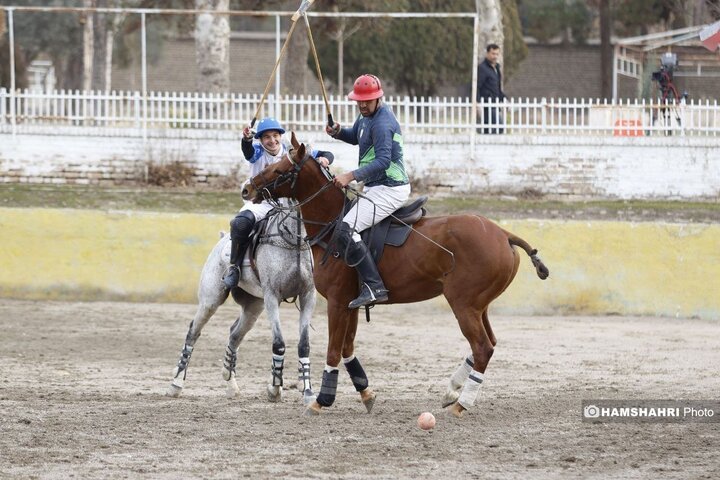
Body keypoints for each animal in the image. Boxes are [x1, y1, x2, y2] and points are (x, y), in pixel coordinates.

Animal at [169, 206, 318, 404]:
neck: (293, 241)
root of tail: (222, 238)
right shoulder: (271, 295)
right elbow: (278, 343)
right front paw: (274, 389)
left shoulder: (308, 295)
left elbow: (304, 344)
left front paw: (307, 390)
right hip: (211, 299)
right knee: (194, 331)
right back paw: (176, 384)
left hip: (254, 306)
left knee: (234, 334)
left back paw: (231, 384)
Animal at [243, 133, 552, 418]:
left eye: (280, 169)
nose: (247, 189)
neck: (331, 227)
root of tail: (504, 234)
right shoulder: (351, 303)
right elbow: (347, 348)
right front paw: (366, 393)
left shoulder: (336, 301)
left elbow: (333, 350)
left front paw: (321, 400)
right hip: (480, 305)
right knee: (488, 345)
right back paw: (451, 390)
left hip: (463, 303)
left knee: (483, 347)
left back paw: (461, 403)